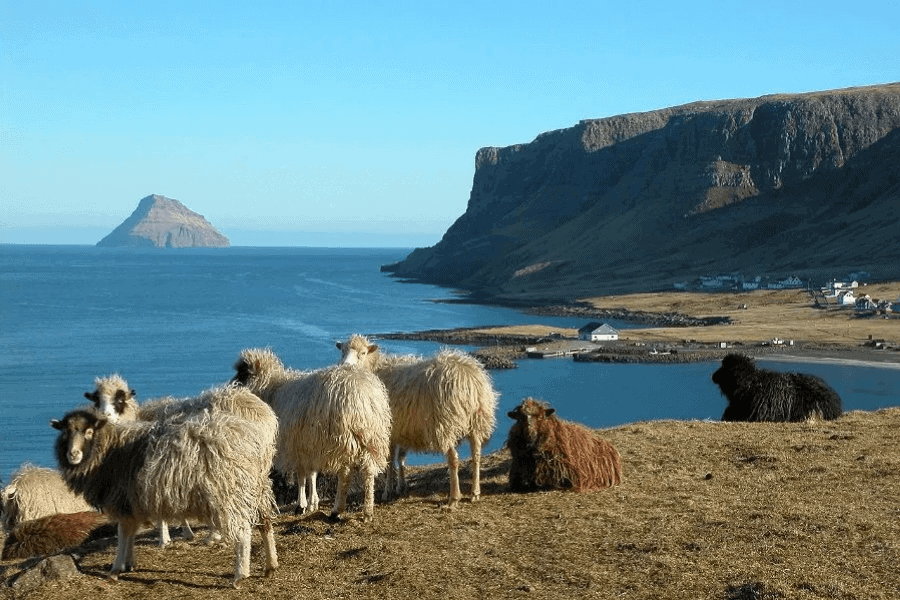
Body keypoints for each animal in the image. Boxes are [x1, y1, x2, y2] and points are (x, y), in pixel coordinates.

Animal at [232, 346, 390, 520]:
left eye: (243, 373)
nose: (232, 386)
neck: (274, 390)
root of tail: (365, 397)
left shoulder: (297, 444)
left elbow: (301, 476)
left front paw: (301, 505)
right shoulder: (310, 444)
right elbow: (311, 474)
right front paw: (312, 503)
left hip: (344, 437)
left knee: (345, 474)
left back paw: (337, 510)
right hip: (372, 437)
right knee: (368, 472)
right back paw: (367, 511)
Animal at [336, 332, 496, 506]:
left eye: (363, 353)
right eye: (342, 351)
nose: (345, 366)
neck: (376, 369)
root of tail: (469, 380)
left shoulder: (388, 430)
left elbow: (390, 461)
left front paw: (387, 491)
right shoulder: (402, 429)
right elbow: (401, 458)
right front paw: (401, 486)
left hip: (445, 425)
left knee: (454, 458)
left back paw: (454, 498)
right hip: (478, 421)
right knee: (476, 455)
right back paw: (475, 492)